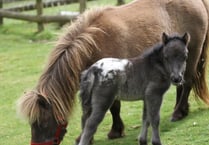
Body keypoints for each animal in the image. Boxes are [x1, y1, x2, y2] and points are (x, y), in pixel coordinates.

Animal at [17, 0, 209, 144]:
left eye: (42, 122)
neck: (93, 43)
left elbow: (114, 107)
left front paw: (115, 131)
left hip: (191, 54)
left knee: (187, 82)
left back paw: (178, 112)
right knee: (180, 84)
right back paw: (181, 110)